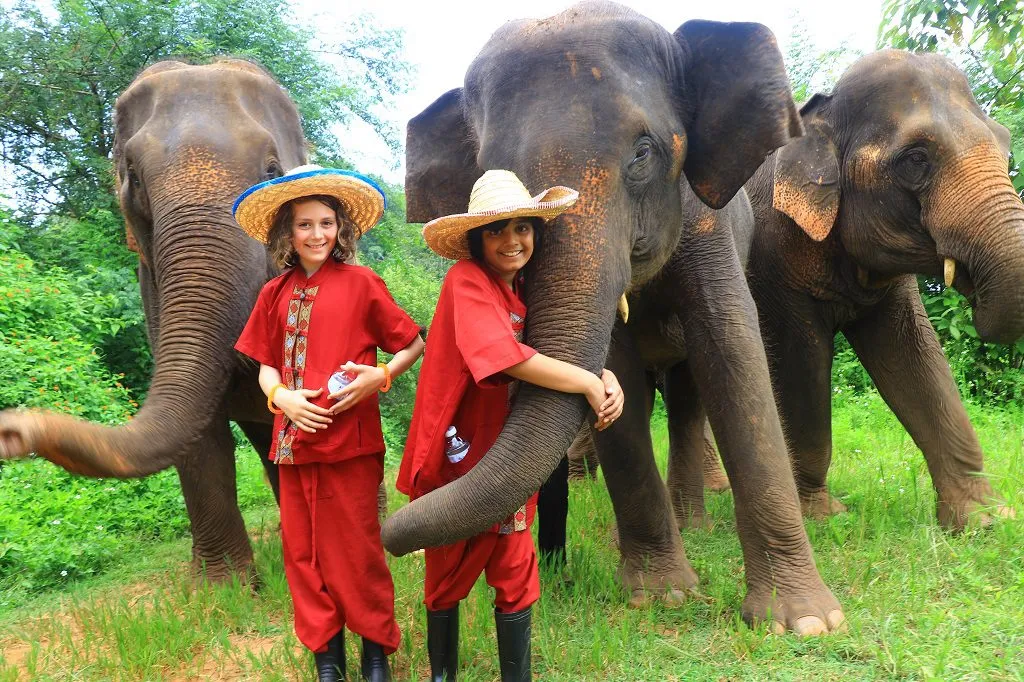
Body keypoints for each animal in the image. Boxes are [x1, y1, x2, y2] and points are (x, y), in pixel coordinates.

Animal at [0, 59, 307, 579]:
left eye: (272, 170)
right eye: (134, 178)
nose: (11, 431)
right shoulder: (152, 291)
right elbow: (201, 436)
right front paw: (223, 587)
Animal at [382, 1, 846, 634]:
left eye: (643, 152)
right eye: (493, 172)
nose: (388, 535)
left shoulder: (708, 226)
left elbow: (731, 346)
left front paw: (804, 622)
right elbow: (618, 370)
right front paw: (661, 596)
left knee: (688, 395)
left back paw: (695, 522)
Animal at [668, 50, 1023, 532]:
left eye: (1005, 145)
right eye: (916, 159)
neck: (823, 113)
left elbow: (916, 359)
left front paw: (985, 520)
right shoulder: (775, 256)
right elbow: (801, 363)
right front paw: (822, 514)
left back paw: (718, 488)